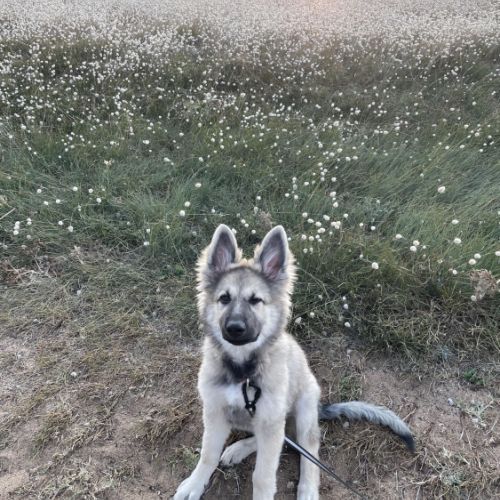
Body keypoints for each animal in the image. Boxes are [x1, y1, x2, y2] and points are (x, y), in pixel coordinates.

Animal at [174, 224, 414, 500]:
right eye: (224, 298)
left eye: (255, 300)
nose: (235, 328)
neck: (244, 371)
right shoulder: (215, 412)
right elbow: (207, 455)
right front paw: (194, 485)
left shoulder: (268, 420)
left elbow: (263, 476)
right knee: (278, 437)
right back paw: (238, 449)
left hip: (303, 410)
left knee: (307, 450)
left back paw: (307, 489)